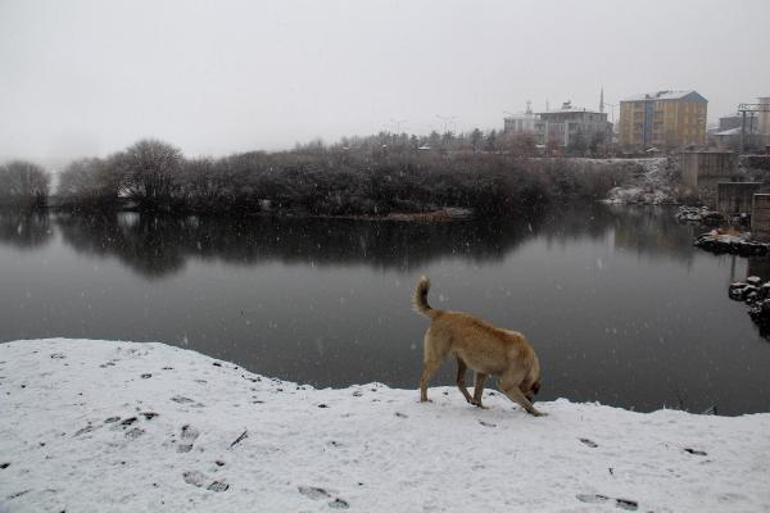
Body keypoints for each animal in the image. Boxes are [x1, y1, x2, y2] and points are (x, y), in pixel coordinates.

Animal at [412, 276, 544, 416]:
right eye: (531, 396)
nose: (532, 401)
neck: (530, 363)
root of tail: (441, 313)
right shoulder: (507, 384)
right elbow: (523, 401)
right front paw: (538, 412)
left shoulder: (482, 372)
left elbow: (479, 392)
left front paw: (479, 405)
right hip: (437, 358)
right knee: (424, 380)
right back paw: (424, 400)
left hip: (462, 361)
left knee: (460, 381)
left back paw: (471, 399)